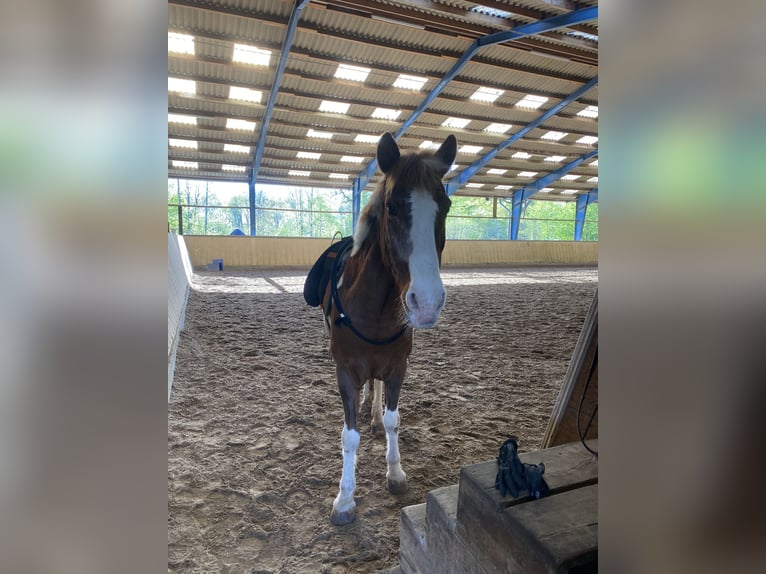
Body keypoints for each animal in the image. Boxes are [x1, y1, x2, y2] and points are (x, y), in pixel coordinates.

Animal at [317, 132, 456, 525]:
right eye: (392, 207)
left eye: (446, 206)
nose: (427, 302)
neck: (374, 310)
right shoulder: (345, 372)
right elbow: (349, 436)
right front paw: (344, 499)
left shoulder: (397, 367)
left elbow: (395, 419)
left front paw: (395, 472)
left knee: (376, 389)